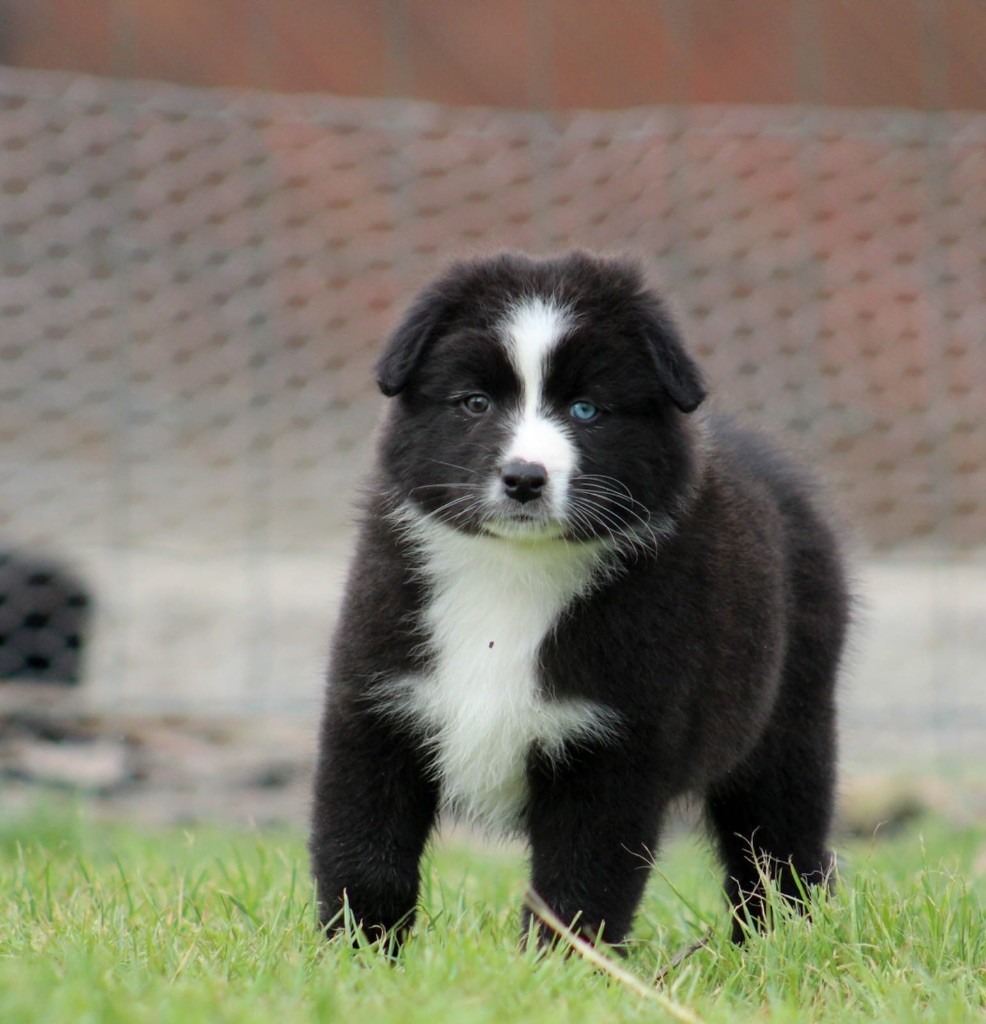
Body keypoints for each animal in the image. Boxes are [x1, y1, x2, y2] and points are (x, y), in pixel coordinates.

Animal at [313, 251, 851, 946]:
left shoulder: (612, 749)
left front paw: (556, 967)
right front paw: (359, 954)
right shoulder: (376, 711)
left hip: (788, 722)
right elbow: (364, 857)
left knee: (780, 851)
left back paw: (781, 945)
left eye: (587, 410)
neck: (513, 574)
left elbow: (579, 887)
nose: (524, 479)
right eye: (474, 403)